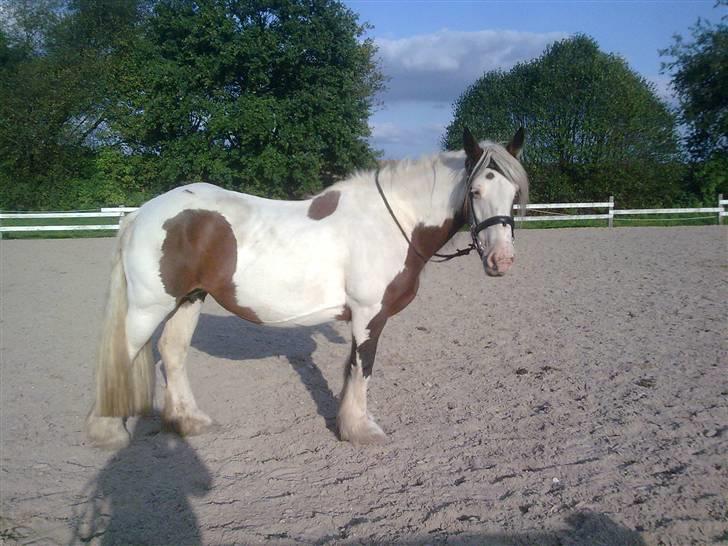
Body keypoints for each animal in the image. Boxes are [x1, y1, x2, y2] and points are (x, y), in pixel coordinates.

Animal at [86, 127, 528, 446]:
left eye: (513, 192)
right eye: (475, 190)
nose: (502, 261)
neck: (391, 221)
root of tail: (141, 213)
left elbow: (351, 368)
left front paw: (350, 424)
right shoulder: (370, 314)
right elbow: (363, 367)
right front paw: (361, 431)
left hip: (189, 299)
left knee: (172, 352)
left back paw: (188, 422)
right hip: (149, 306)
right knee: (125, 354)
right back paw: (107, 431)